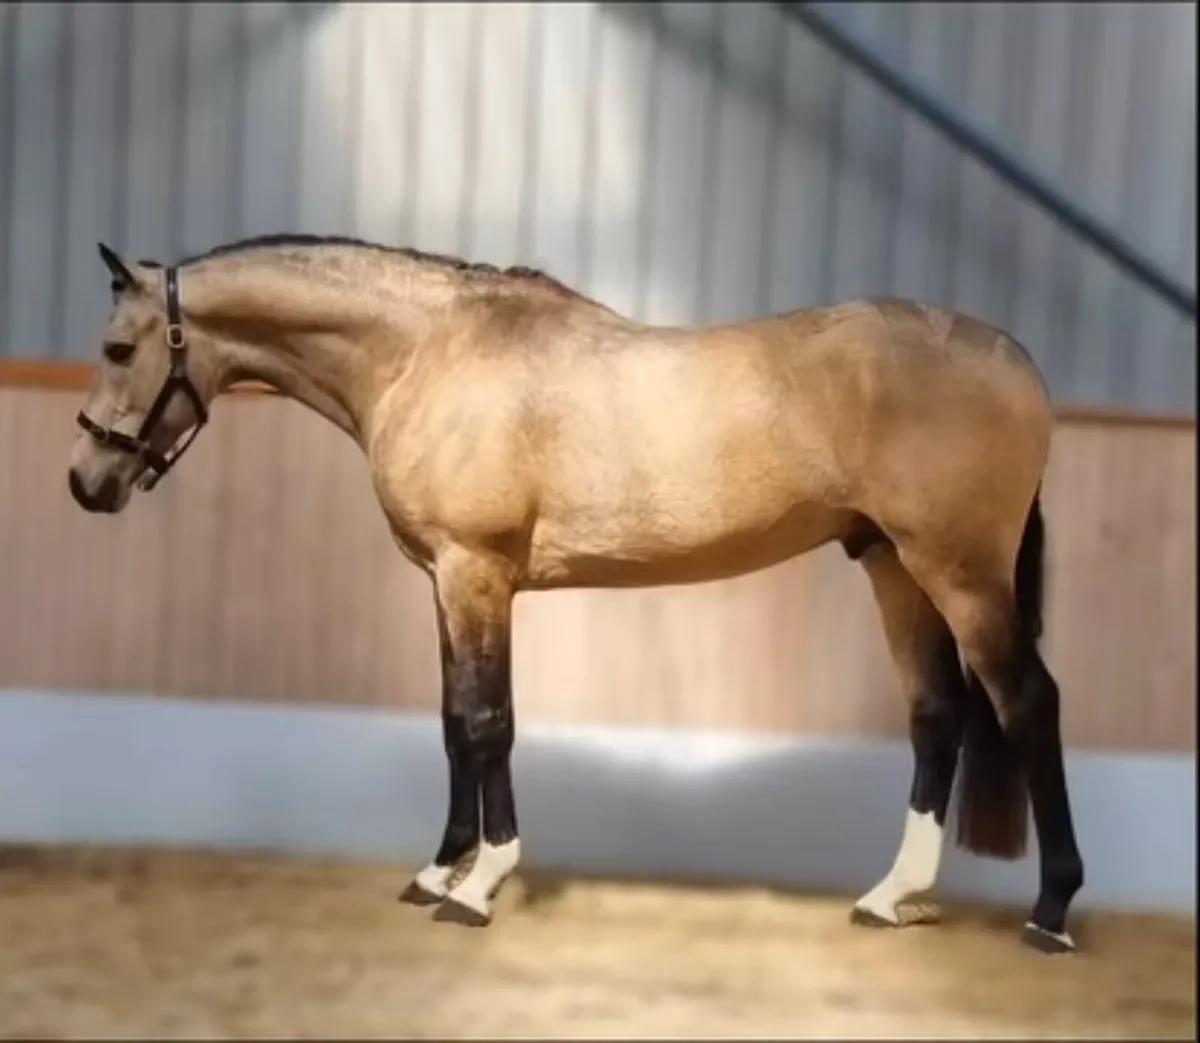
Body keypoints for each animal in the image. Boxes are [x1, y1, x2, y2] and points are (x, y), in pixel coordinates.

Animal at [67, 235, 1084, 954]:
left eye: (118, 347)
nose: (85, 481)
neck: (428, 353)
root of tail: (1016, 357)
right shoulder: (443, 579)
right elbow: (454, 720)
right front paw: (437, 873)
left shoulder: (476, 570)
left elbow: (488, 721)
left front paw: (481, 885)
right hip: (893, 567)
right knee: (937, 715)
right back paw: (890, 896)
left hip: (958, 573)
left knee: (1027, 704)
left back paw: (1051, 909)